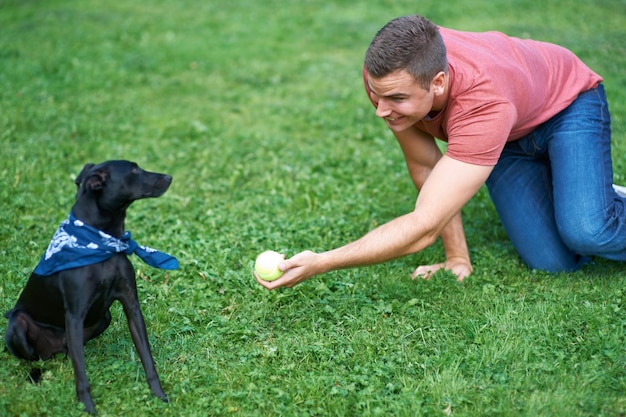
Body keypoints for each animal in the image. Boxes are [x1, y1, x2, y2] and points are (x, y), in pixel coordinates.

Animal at [4, 159, 179, 412]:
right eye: (134, 170)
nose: (169, 177)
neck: (102, 240)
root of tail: (56, 346)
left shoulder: (131, 306)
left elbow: (147, 357)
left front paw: (159, 395)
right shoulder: (75, 315)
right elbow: (81, 376)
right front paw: (87, 407)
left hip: (103, 318)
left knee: (70, 353)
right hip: (19, 324)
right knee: (35, 359)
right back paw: (35, 375)